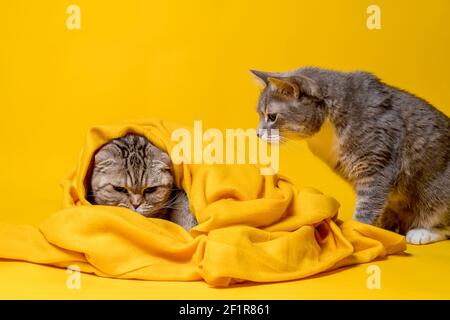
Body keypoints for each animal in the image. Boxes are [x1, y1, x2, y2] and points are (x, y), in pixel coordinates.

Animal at [251, 66, 450, 244]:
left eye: (272, 116)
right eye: (260, 114)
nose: (257, 134)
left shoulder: (376, 165)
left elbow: (368, 204)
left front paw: (355, 232)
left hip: (435, 191)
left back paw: (422, 232)